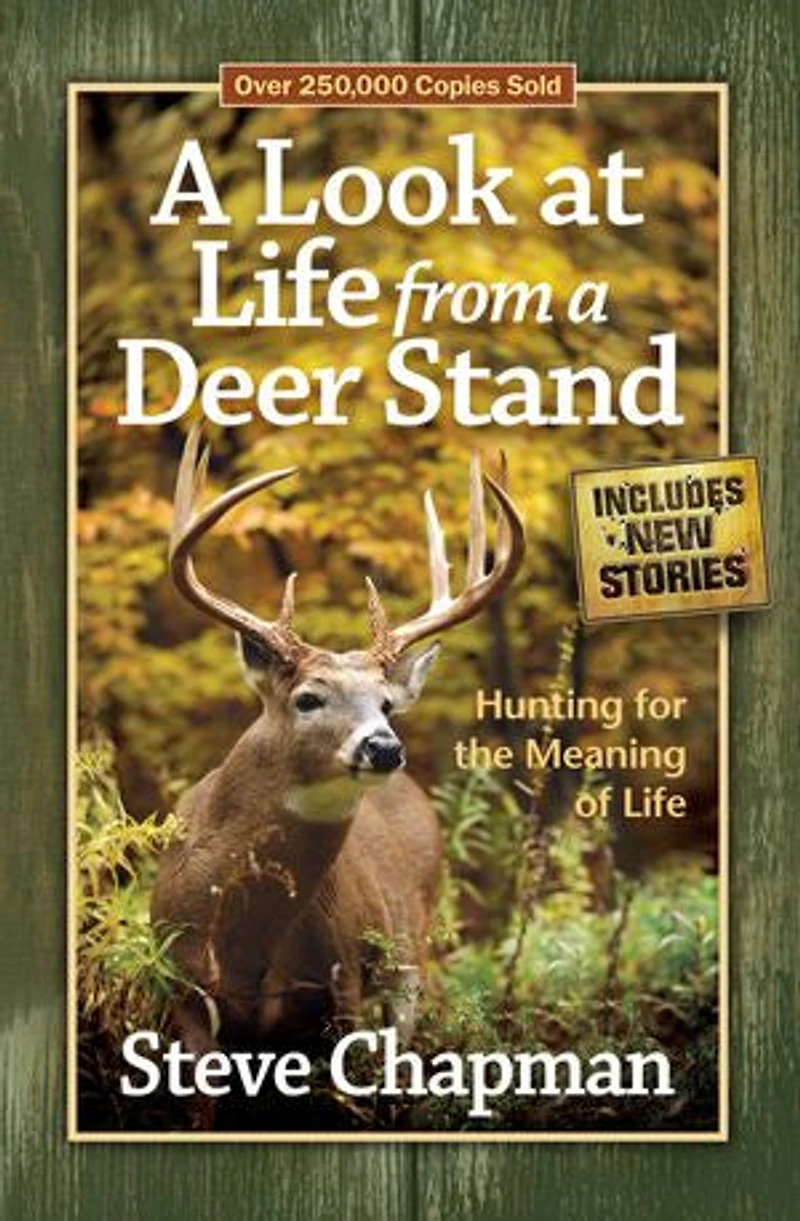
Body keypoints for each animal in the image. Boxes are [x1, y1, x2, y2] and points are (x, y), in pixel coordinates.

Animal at [150, 425, 525, 1102]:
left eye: (386, 703)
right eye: (308, 698)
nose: (383, 747)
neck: (244, 942)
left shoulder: (339, 986)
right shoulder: (183, 998)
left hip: (411, 954)